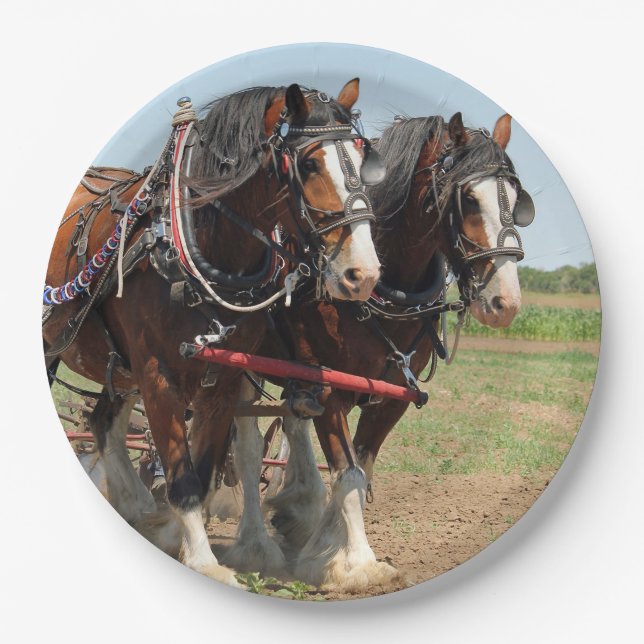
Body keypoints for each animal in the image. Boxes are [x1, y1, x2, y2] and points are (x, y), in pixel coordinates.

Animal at [42, 79, 383, 587]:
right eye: (307, 163)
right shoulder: (157, 375)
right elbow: (183, 477)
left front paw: (181, 541)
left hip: (118, 368)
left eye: (363, 159)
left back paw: (138, 508)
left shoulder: (222, 378)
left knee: (104, 422)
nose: (363, 273)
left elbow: (202, 474)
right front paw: (204, 561)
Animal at [230, 111, 535, 590]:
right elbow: (349, 473)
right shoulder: (329, 387)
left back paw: (298, 510)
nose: (506, 303)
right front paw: (356, 563)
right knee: (244, 449)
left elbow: (362, 469)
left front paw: (323, 544)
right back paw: (254, 545)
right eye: (468, 199)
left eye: (516, 198)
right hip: (244, 365)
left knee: (292, 423)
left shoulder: (392, 396)